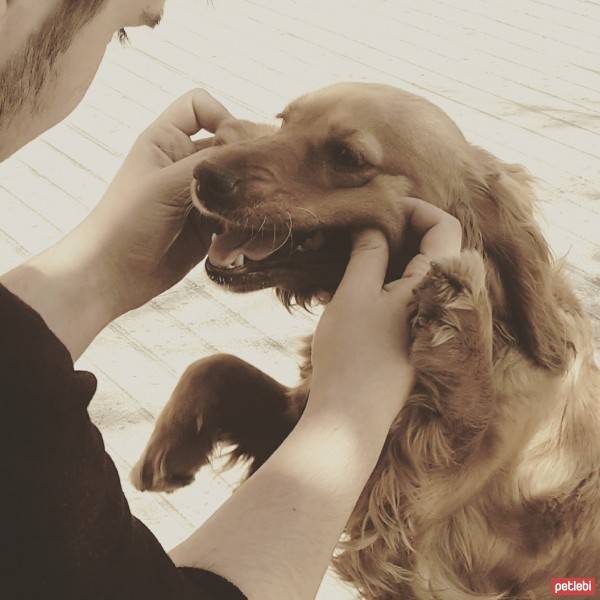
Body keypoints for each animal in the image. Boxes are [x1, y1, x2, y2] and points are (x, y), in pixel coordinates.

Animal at [131, 82, 600, 596]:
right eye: (284, 121)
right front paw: (173, 445)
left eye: (347, 156)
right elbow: (215, 365)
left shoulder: (408, 524)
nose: (204, 175)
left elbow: (464, 420)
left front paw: (460, 309)